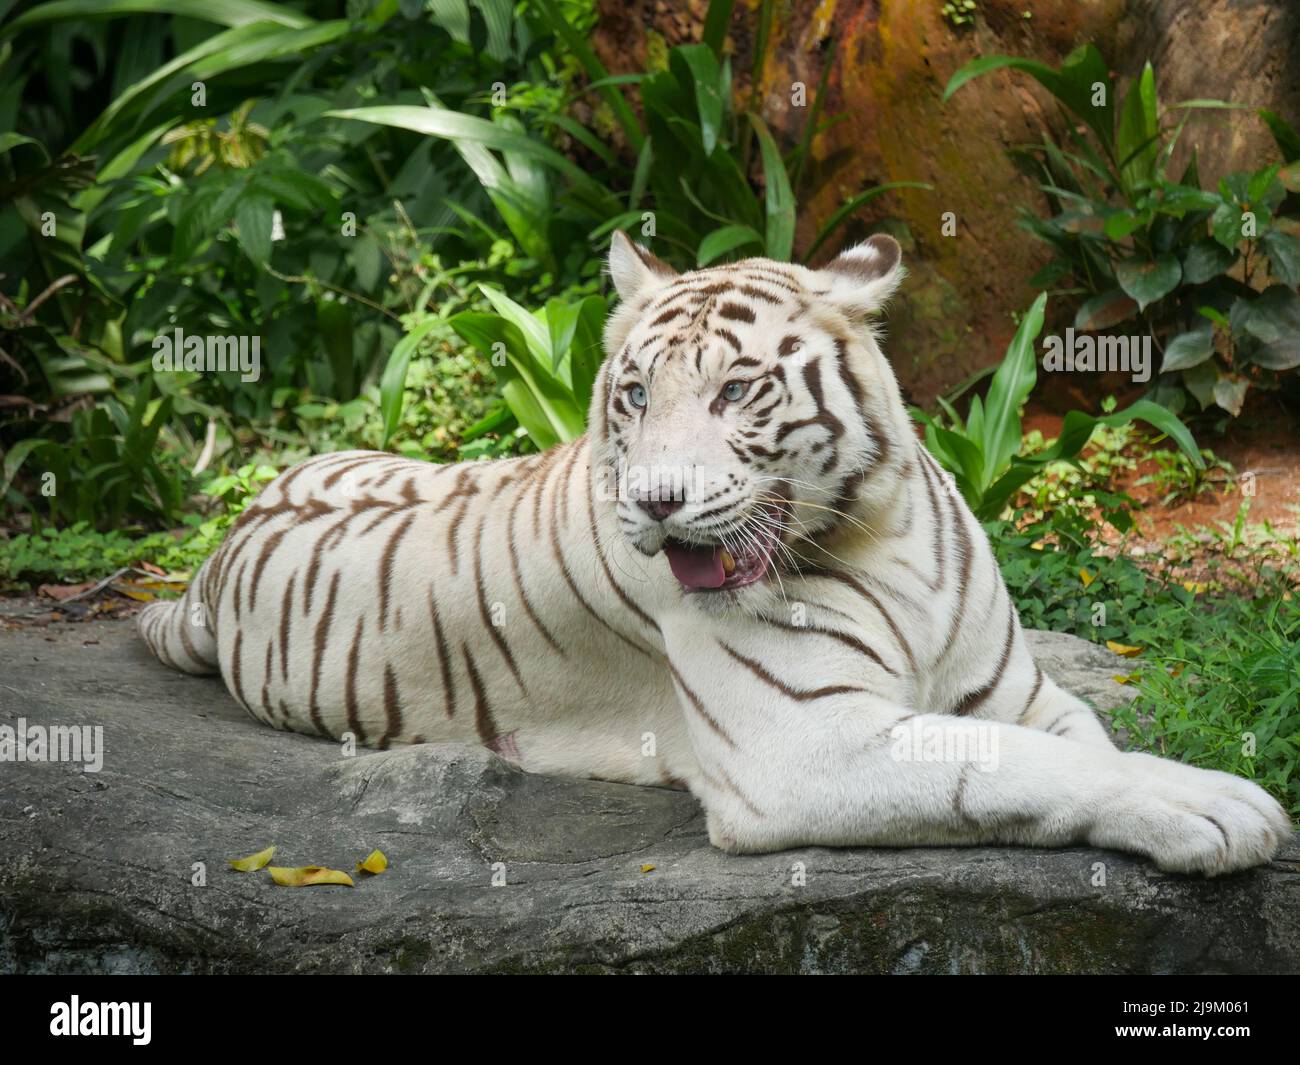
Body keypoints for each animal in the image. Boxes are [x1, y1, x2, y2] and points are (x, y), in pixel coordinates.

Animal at [142, 231, 1289, 873]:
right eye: (635, 394)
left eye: (737, 389)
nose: (656, 502)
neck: (883, 530)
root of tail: (219, 550)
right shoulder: (802, 743)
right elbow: (1023, 768)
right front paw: (1214, 804)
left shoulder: (1017, 693)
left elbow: (1078, 745)